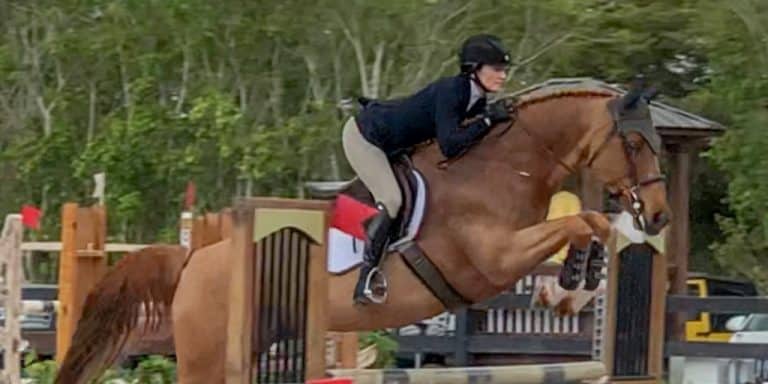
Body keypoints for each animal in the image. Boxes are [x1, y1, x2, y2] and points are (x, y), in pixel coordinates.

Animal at [57, 82, 672, 382]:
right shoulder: (492, 259)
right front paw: (569, 284)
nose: (661, 215)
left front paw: (573, 285)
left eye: (658, 142)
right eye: (634, 142)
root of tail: (195, 260)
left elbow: (589, 223)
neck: (503, 164)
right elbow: (580, 220)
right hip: (208, 357)